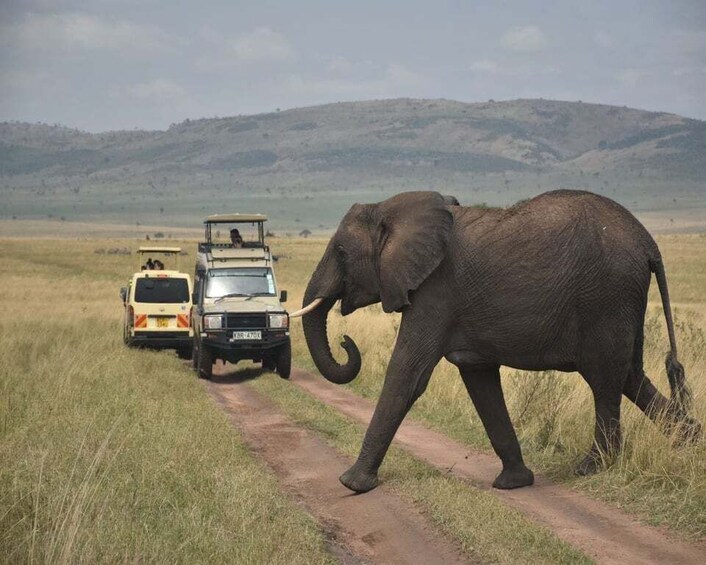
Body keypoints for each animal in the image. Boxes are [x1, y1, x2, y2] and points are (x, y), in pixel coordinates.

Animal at [292, 188, 700, 490]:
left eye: (341, 252)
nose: (346, 342)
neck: (390, 209)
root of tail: (649, 243)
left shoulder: (436, 292)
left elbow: (407, 375)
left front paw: (351, 484)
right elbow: (480, 381)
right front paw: (514, 483)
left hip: (607, 296)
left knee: (604, 380)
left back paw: (591, 467)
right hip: (622, 299)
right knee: (629, 376)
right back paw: (692, 443)